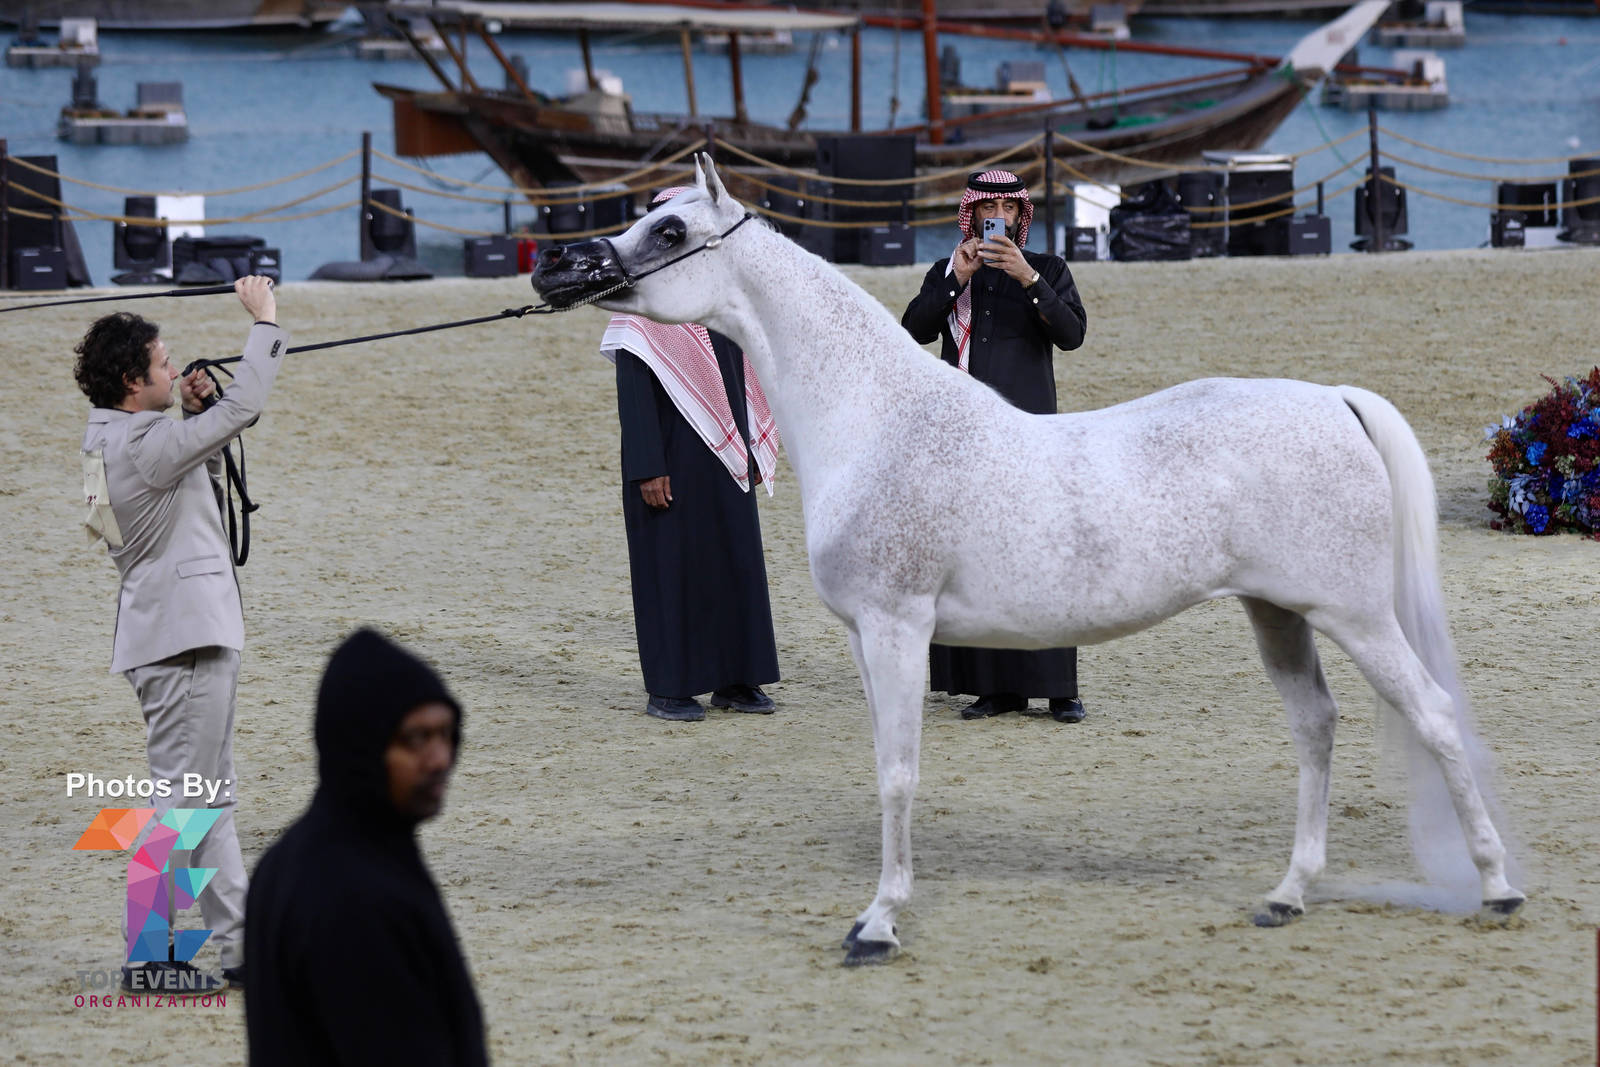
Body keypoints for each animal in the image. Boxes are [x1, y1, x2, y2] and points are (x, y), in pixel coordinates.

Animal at [531, 156, 1524, 965]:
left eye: (670, 231)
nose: (553, 265)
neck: (878, 419)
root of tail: (1333, 401)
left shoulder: (898, 628)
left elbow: (899, 773)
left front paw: (878, 924)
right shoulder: (867, 637)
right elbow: (887, 763)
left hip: (1353, 614)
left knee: (1434, 716)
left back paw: (1497, 885)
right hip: (1278, 613)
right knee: (1316, 726)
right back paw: (1288, 895)